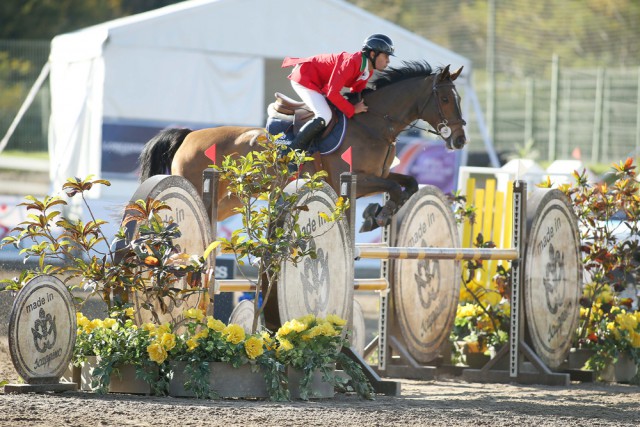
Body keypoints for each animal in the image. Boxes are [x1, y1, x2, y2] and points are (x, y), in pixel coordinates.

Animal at [139, 61, 464, 231]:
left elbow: (408, 184)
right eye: (446, 98)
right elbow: (396, 187)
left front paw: (377, 216)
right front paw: (378, 216)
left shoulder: (379, 175)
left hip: (228, 200)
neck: (373, 124)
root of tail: (189, 136)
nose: (460, 139)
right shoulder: (354, 179)